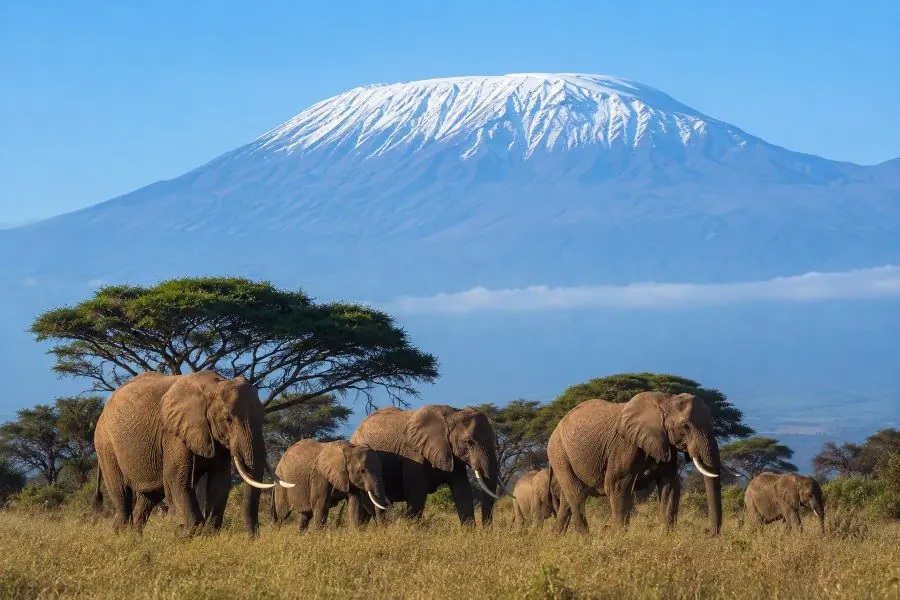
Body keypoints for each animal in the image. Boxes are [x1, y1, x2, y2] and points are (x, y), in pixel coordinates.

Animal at [93, 370, 293, 537]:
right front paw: (187, 534)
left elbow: (220, 481)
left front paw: (208, 534)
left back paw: (134, 538)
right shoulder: (173, 433)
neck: (214, 386)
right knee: (122, 494)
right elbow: (177, 479)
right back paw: (120, 537)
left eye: (263, 418)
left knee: (148, 498)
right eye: (227, 419)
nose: (254, 537)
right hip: (105, 444)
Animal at [347, 404, 512, 527]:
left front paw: (469, 534)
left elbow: (462, 491)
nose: (487, 530)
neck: (451, 415)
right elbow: (416, 494)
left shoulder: (451, 453)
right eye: (469, 442)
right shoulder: (414, 454)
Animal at [547, 391, 724, 535]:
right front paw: (620, 538)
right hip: (559, 454)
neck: (666, 400)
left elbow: (670, 485)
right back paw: (585, 539)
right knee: (577, 495)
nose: (710, 534)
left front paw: (668, 537)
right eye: (685, 426)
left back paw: (556, 537)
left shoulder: (665, 443)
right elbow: (617, 486)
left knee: (566, 502)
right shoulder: (624, 445)